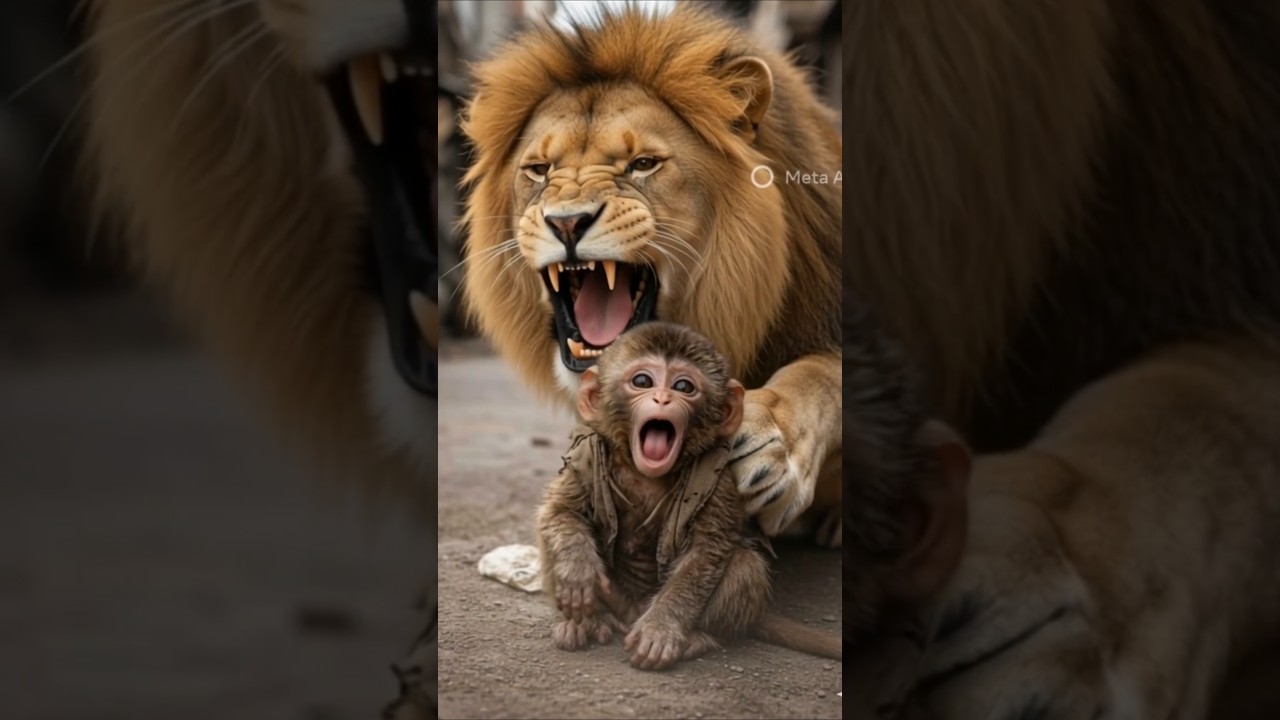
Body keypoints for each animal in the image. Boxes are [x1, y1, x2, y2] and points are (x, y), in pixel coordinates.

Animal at [535, 321, 841, 671]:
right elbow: (560, 512)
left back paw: (700, 636)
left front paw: (661, 629)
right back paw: (589, 621)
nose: (663, 399)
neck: (646, 474)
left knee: (744, 563)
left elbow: (705, 551)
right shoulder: (585, 456)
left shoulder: (718, 480)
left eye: (684, 386)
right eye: (642, 381)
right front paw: (577, 574)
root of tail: (632, 610)